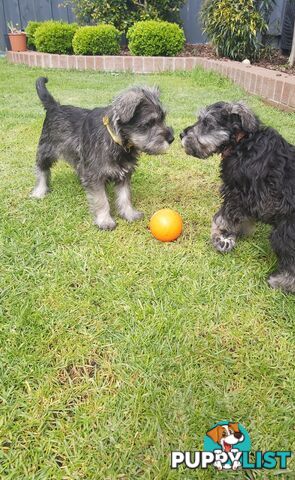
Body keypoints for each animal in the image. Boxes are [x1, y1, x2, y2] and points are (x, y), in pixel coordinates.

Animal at [31, 76, 176, 229]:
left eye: (163, 118)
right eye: (149, 123)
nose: (171, 138)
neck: (116, 141)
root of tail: (54, 107)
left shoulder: (124, 174)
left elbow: (125, 196)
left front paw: (129, 214)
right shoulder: (95, 176)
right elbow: (101, 200)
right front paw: (105, 220)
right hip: (46, 150)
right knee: (41, 170)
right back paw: (39, 191)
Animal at [180, 101, 295, 292]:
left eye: (207, 122)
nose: (182, 134)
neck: (241, 143)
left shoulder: (236, 195)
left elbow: (223, 218)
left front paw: (221, 238)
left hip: (285, 230)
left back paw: (279, 283)